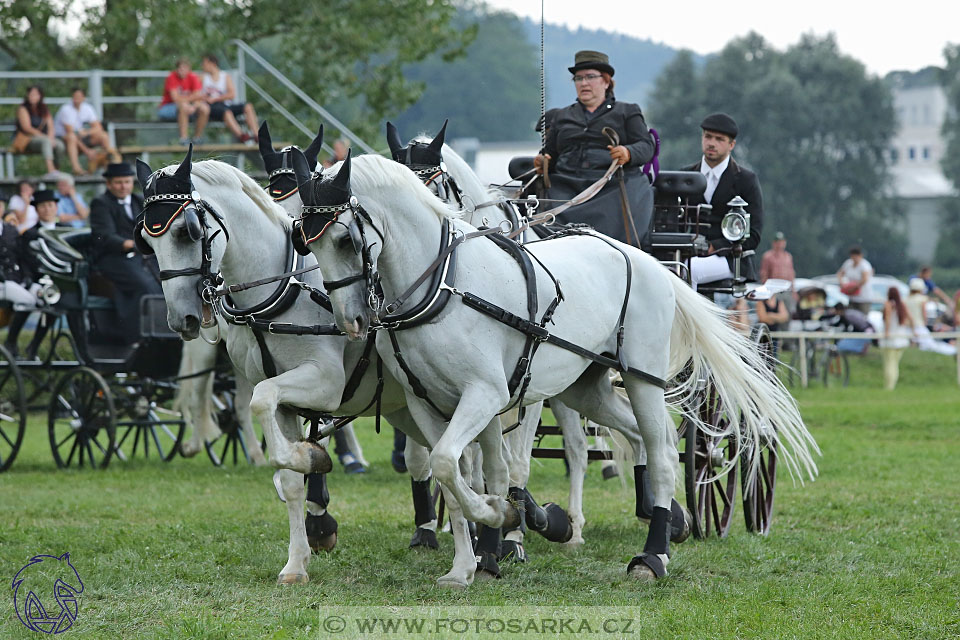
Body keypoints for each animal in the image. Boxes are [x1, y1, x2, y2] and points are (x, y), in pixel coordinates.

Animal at [292, 150, 816, 584]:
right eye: (304, 242)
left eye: (344, 239)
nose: (351, 321)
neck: (442, 286)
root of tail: (646, 259)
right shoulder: (434, 402)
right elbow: (464, 471)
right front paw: (473, 560)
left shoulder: (488, 394)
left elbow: (456, 464)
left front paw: (500, 521)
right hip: (588, 387)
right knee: (645, 439)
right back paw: (663, 519)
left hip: (641, 379)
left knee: (665, 452)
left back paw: (653, 556)